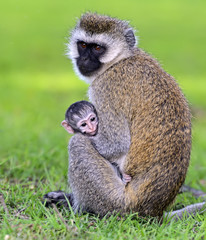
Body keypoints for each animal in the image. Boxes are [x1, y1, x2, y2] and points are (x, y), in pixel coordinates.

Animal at [44, 12, 205, 219]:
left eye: (97, 48)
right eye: (83, 45)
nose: (84, 60)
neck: (120, 60)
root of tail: (152, 211)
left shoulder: (105, 88)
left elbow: (115, 144)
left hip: (114, 201)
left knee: (78, 143)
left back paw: (78, 207)